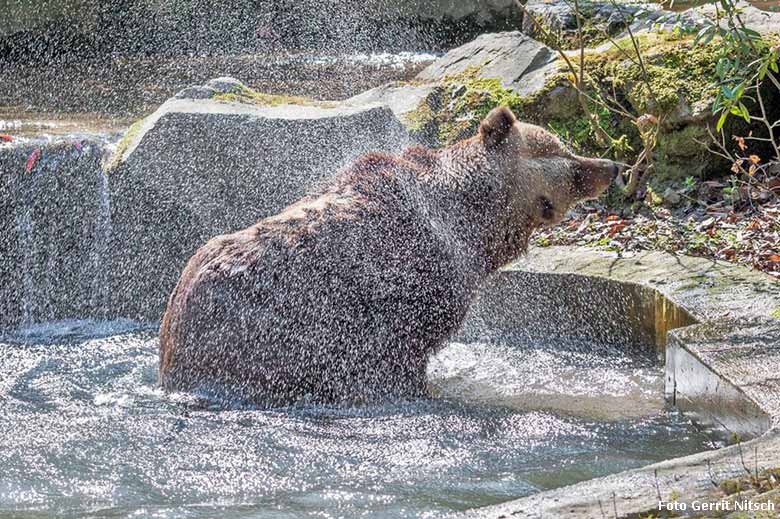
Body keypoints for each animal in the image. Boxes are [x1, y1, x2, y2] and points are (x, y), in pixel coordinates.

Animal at [160, 105, 620, 406]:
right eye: (566, 153)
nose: (611, 165)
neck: (474, 227)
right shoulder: (399, 302)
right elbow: (398, 361)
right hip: (257, 335)